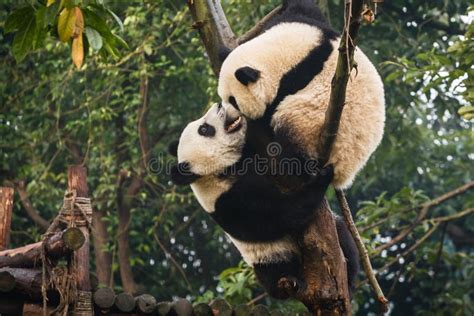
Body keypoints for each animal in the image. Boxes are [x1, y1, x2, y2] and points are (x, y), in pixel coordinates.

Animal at [168, 103, 358, 298]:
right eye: (204, 129)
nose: (219, 104)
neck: (220, 171)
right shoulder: (228, 200)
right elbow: (280, 215)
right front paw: (323, 176)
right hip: (270, 257)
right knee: (274, 274)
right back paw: (291, 281)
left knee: (344, 237)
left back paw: (349, 281)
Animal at [218, 0, 386, 189]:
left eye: (233, 101)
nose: (226, 117)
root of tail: (344, 172)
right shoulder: (314, 26)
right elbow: (305, 8)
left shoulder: (293, 81)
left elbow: (268, 117)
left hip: (312, 126)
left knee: (290, 132)